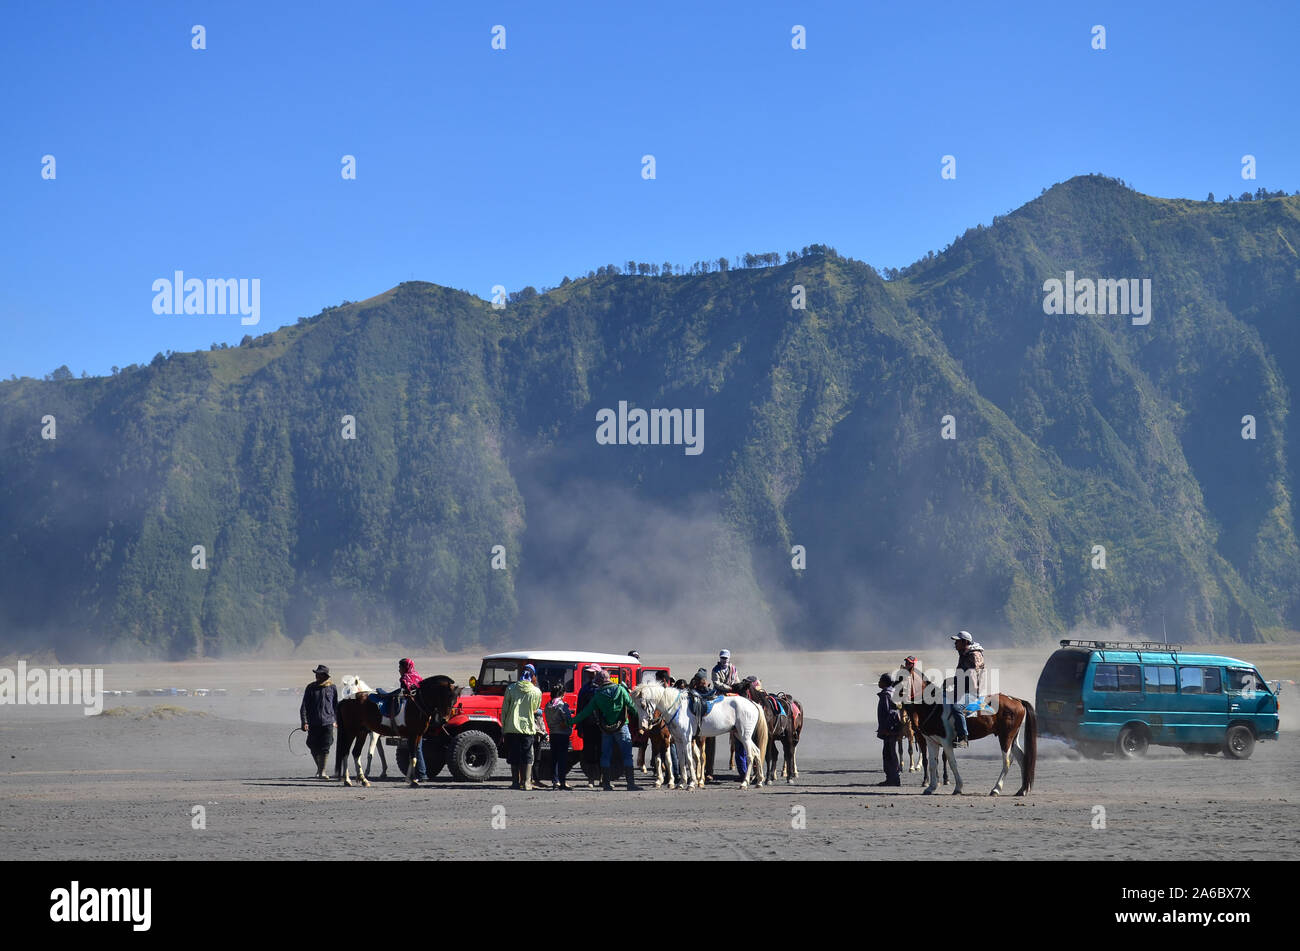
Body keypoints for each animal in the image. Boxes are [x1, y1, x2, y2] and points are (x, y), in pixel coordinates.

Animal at [626, 685, 764, 789]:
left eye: (643, 705)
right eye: (636, 706)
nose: (643, 726)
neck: (676, 709)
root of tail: (753, 704)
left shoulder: (685, 739)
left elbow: (688, 759)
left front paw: (691, 783)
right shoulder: (677, 740)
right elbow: (681, 760)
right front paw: (681, 783)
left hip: (744, 736)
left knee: (750, 755)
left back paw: (744, 783)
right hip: (739, 734)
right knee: (757, 751)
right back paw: (759, 781)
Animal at [904, 696, 1034, 800]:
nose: (914, 727)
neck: (934, 709)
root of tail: (1017, 700)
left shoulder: (946, 743)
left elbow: (952, 763)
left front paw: (958, 788)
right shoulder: (932, 742)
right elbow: (932, 765)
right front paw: (931, 788)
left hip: (1006, 737)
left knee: (1007, 761)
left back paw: (996, 789)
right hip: (1013, 738)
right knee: (1022, 758)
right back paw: (1023, 790)